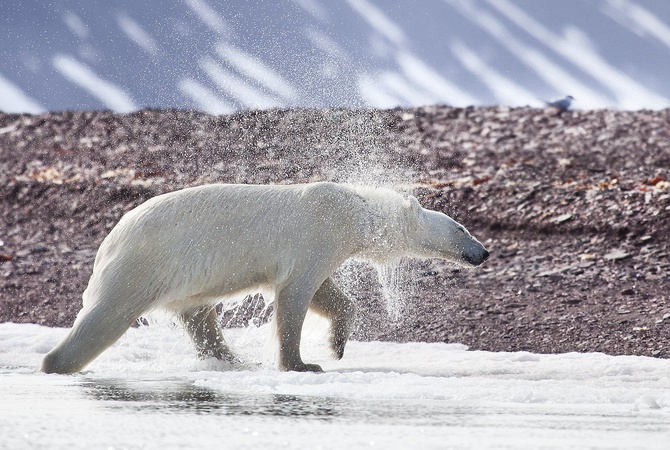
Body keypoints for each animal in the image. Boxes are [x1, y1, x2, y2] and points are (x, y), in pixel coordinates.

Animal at [42, 181, 490, 374]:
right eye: (461, 228)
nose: (483, 252)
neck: (354, 211)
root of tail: (109, 241)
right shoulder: (315, 234)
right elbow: (295, 296)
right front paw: (303, 364)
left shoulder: (325, 247)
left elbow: (329, 294)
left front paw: (337, 345)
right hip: (145, 265)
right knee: (105, 319)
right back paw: (55, 364)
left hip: (182, 280)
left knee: (199, 317)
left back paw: (232, 360)